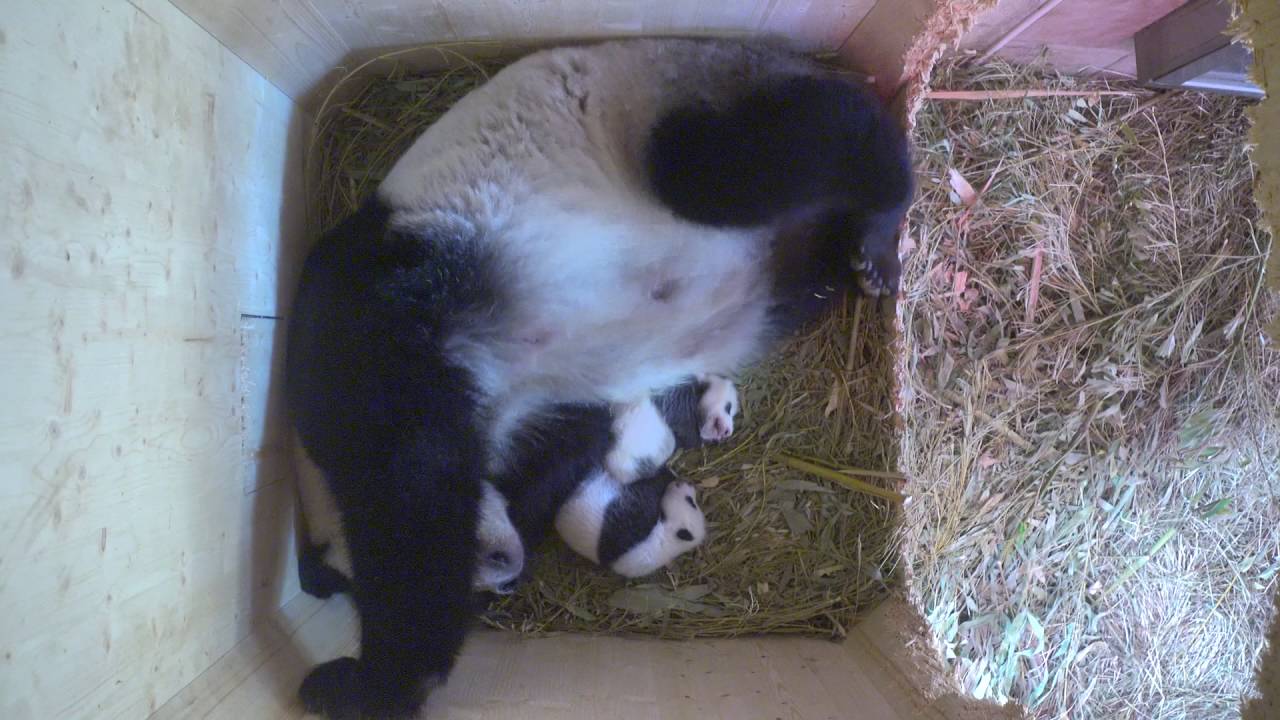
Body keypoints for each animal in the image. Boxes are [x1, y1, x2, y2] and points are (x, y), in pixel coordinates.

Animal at [285, 37, 912, 719]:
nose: (508, 572)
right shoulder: (548, 412)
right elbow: (563, 452)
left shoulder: (374, 337)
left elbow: (412, 492)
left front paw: (363, 682)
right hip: (781, 273)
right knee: (805, 255)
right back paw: (853, 251)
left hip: (665, 97)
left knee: (754, 157)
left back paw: (881, 224)